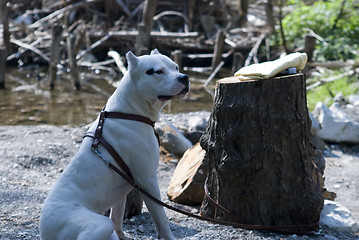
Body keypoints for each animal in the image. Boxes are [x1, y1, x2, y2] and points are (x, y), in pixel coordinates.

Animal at [39, 49, 190, 240]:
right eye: (157, 71)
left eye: (176, 67)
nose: (184, 77)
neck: (127, 112)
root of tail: (44, 229)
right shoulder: (148, 181)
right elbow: (161, 219)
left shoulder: (123, 190)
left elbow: (117, 216)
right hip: (97, 223)